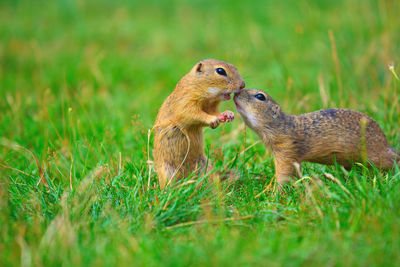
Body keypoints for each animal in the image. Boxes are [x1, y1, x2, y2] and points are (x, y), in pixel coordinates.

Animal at [154, 59, 245, 188]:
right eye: (220, 71)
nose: (243, 85)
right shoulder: (187, 102)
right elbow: (194, 114)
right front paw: (213, 119)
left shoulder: (211, 107)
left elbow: (214, 113)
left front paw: (228, 114)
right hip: (167, 172)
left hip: (205, 166)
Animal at [234, 89, 400, 185]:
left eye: (260, 96)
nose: (236, 93)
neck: (282, 126)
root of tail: (386, 143)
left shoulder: (286, 149)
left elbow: (283, 173)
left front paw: (274, 192)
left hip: (375, 156)